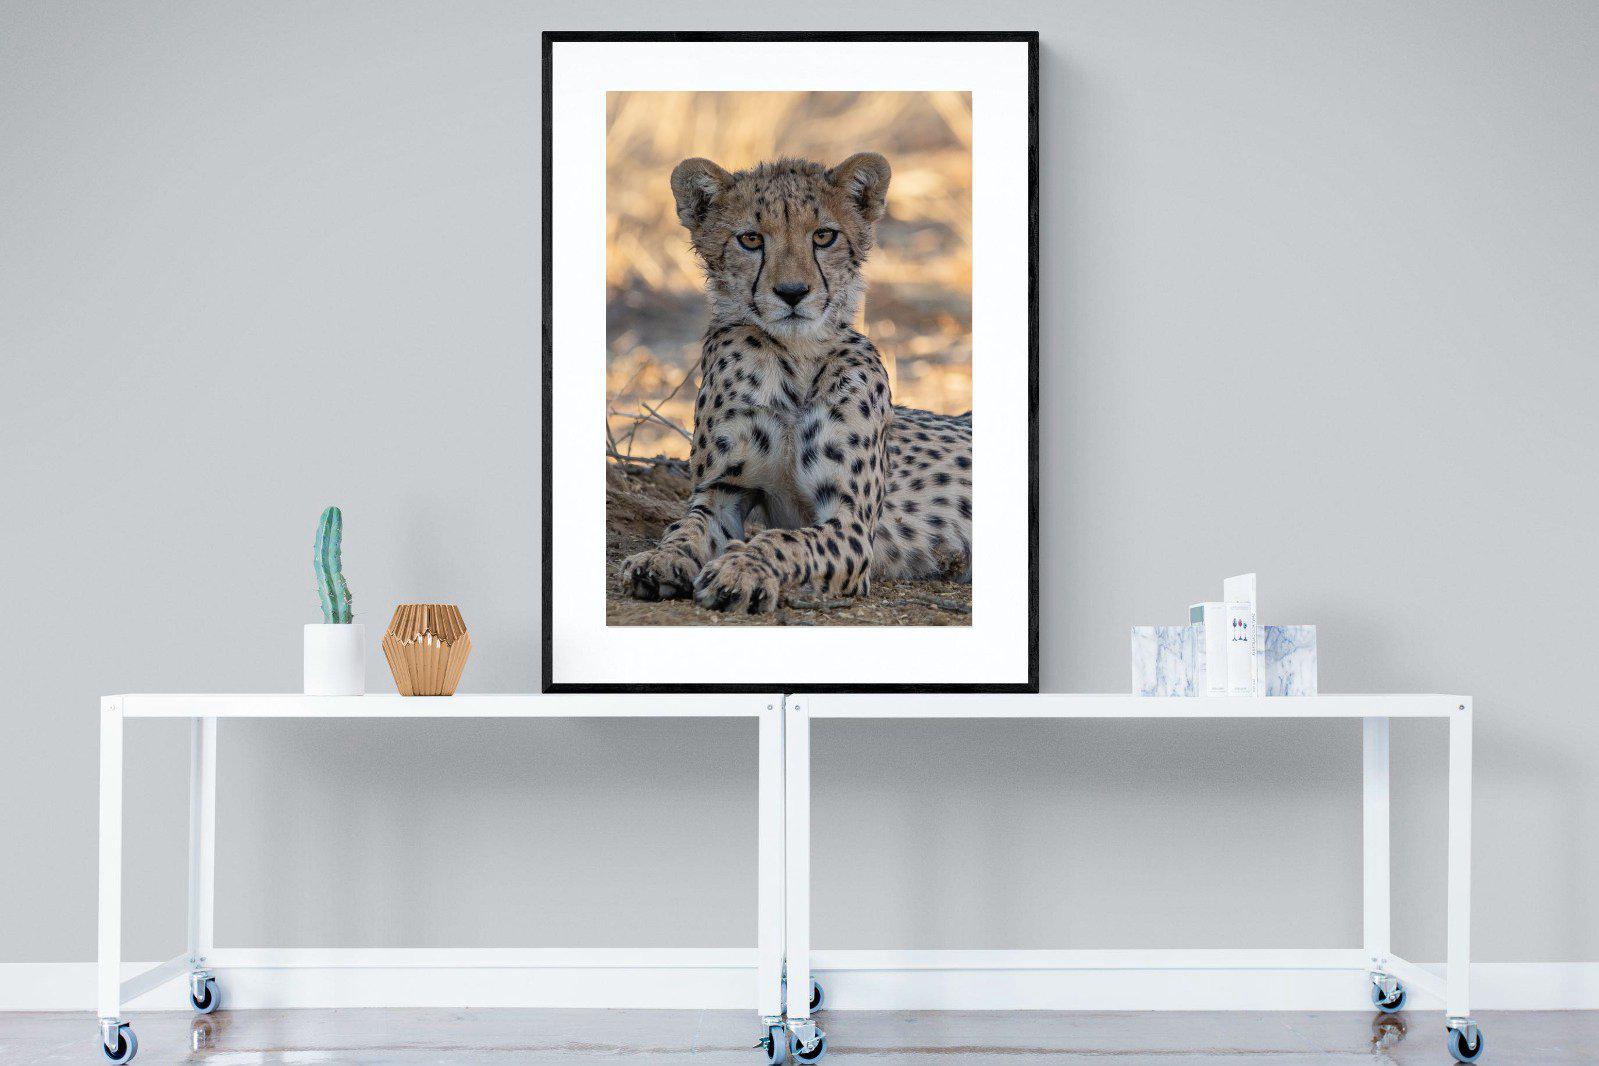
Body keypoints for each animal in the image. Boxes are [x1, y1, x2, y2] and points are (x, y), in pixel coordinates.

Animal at [619, 152, 973, 615]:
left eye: (824, 235)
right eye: (751, 239)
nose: (792, 292)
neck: (795, 360)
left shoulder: (851, 523)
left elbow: (785, 540)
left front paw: (741, 570)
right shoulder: (723, 492)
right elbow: (685, 527)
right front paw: (660, 559)